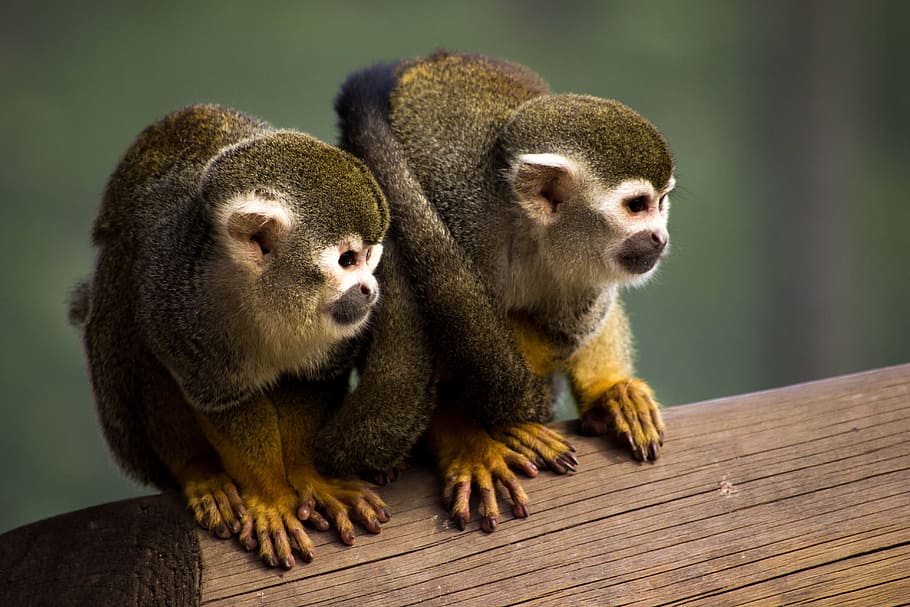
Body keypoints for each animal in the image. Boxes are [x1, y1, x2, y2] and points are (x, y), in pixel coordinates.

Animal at [70, 104, 434, 568]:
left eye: (370, 257)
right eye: (347, 260)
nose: (370, 289)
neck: (267, 297)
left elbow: (307, 382)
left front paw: (307, 476)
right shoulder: (178, 299)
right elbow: (223, 400)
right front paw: (271, 496)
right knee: (129, 327)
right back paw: (197, 470)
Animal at [335, 51, 675, 531]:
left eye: (661, 203)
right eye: (637, 206)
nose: (660, 237)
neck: (529, 228)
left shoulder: (590, 270)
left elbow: (561, 333)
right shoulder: (456, 204)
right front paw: (469, 440)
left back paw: (609, 392)